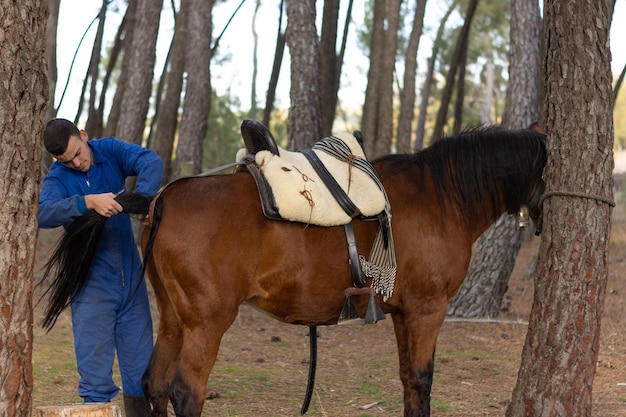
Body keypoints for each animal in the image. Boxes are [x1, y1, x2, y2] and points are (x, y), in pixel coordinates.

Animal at [139, 126, 544, 416]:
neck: (443, 199)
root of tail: (166, 198)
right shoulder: (428, 309)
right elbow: (422, 381)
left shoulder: (404, 314)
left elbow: (408, 379)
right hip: (207, 323)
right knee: (185, 393)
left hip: (174, 318)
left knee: (154, 384)